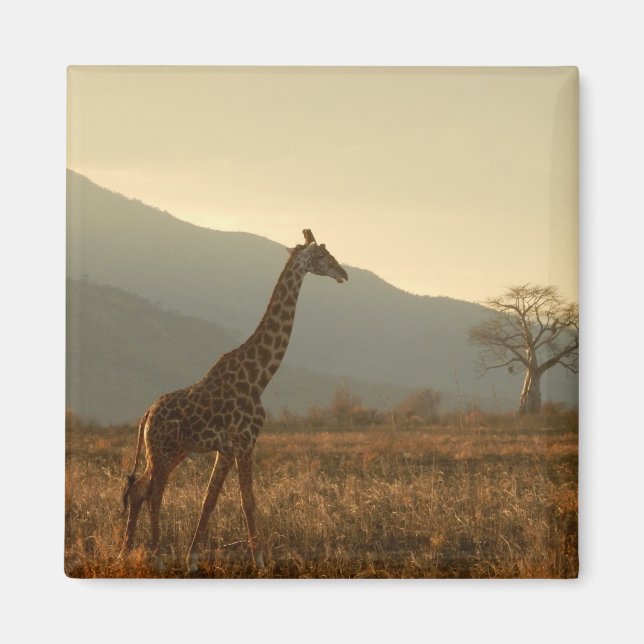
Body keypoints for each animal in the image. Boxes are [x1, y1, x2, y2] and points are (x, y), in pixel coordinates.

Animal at [121, 229, 348, 572]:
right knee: (153, 493)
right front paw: (261, 561)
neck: (259, 377)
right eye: (323, 255)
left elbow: (209, 500)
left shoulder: (226, 450)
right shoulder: (244, 441)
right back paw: (155, 557)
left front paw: (193, 559)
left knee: (138, 490)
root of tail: (147, 414)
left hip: (167, 453)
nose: (343, 273)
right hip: (163, 451)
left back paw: (125, 553)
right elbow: (248, 500)